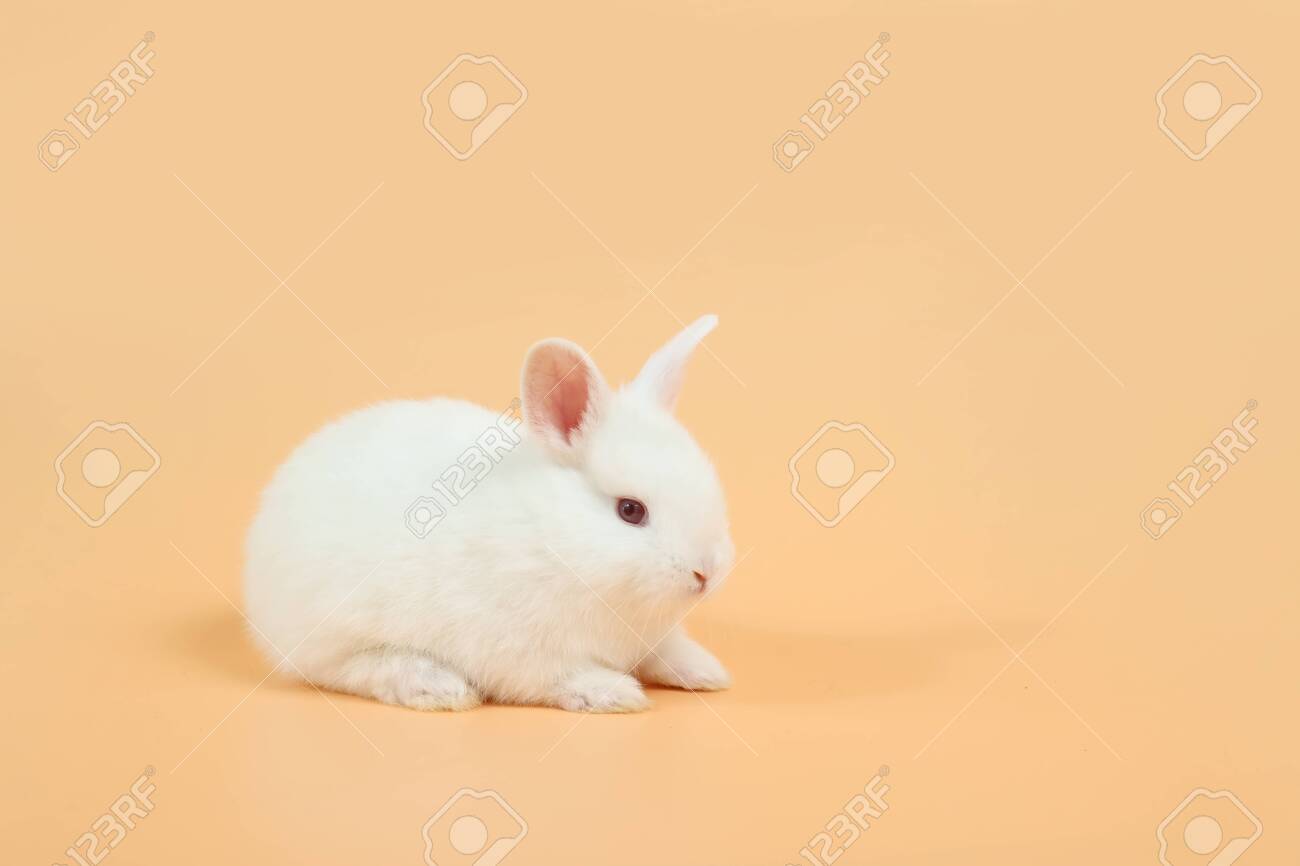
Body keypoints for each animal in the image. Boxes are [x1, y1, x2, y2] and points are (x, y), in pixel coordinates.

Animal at [243, 315, 735, 713]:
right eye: (630, 510)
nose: (705, 574)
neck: (556, 539)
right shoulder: (520, 649)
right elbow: (556, 677)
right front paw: (613, 693)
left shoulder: (651, 637)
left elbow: (668, 652)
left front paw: (707, 672)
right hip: (333, 632)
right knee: (353, 668)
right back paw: (437, 687)